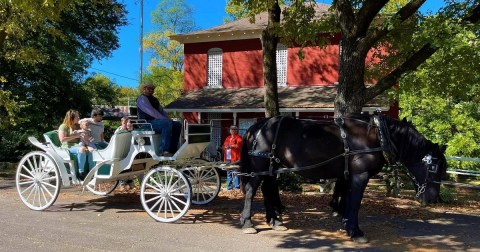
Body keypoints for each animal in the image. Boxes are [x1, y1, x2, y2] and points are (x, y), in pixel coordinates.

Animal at [239, 113, 446, 242]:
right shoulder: (360, 175)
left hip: (271, 168)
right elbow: (354, 203)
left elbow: (347, 200)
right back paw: (248, 222)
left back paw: (275, 222)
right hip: (260, 167)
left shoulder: (348, 176)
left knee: (267, 189)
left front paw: (346, 225)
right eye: (434, 167)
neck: (377, 135)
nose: (433, 199)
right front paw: (356, 232)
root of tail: (258, 126)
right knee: (251, 190)